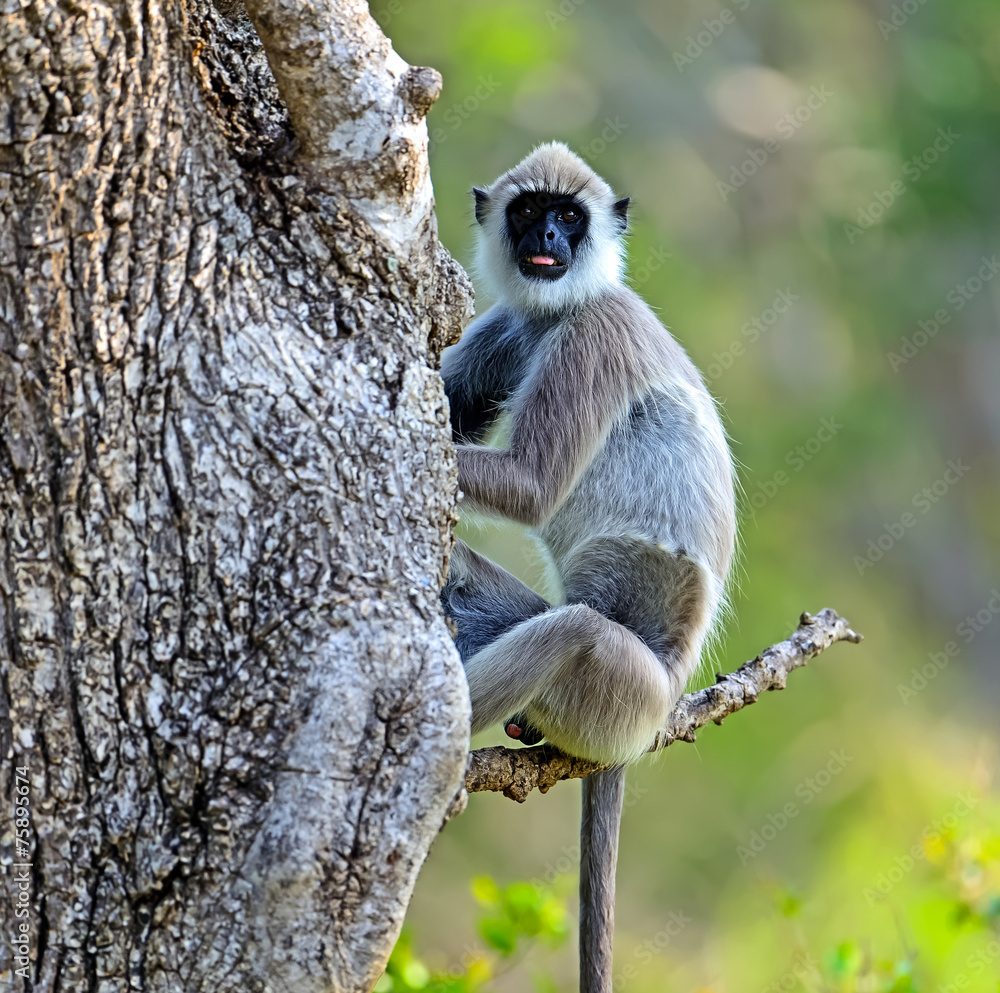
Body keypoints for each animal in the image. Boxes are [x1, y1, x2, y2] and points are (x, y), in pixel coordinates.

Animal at [439, 142, 736, 991]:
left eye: (569, 215)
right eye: (529, 210)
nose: (549, 238)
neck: (565, 306)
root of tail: (665, 708)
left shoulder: (591, 334)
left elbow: (535, 486)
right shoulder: (514, 324)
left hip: (621, 694)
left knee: (571, 630)